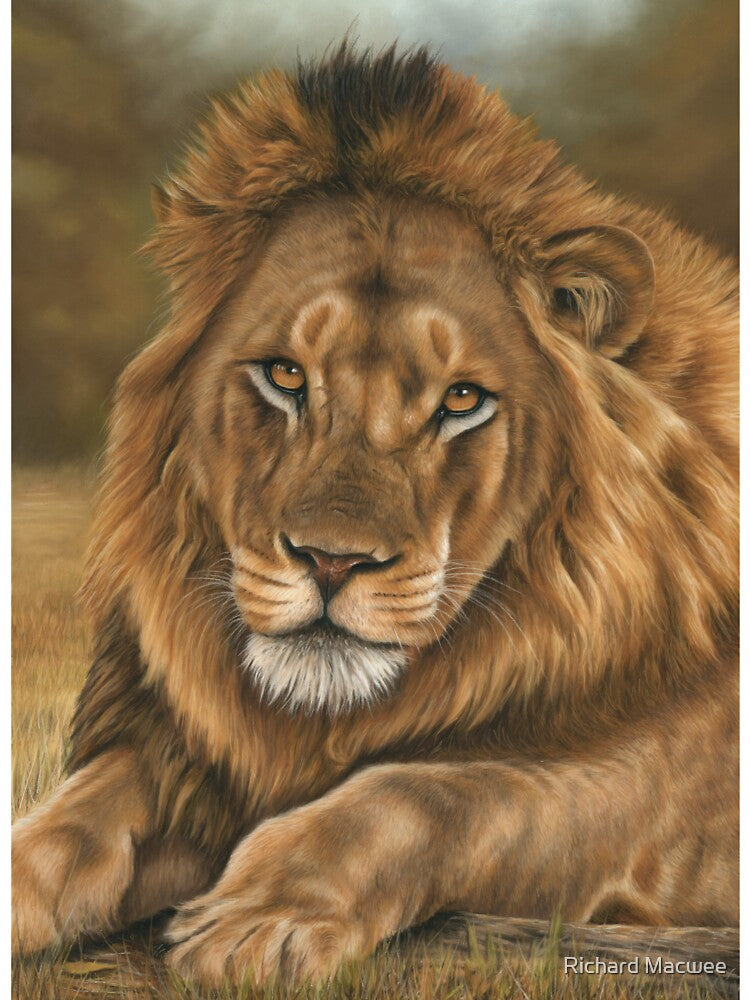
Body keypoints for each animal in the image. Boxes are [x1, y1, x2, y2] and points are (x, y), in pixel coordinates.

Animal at [12, 43, 737, 985]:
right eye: (285, 375)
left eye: (462, 399)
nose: (332, 561)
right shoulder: (183, 760)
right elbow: (79, 817)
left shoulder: (673, 784)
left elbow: (446, 791)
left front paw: (264, 915)